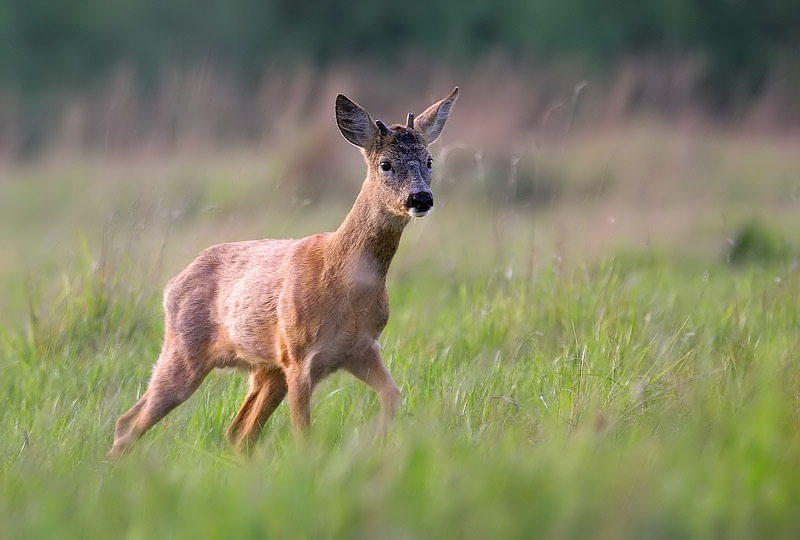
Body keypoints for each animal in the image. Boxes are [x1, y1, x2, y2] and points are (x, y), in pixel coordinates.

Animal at [110, 86, 460, 458]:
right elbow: (303, 432)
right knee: (131, 422)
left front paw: (375, 447)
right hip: (186, 350)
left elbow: (392, 396)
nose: (420, 198)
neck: (343, 280)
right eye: (385, 164)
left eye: (429, 160)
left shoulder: (362, 348)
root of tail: (171, 286)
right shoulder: (299, 358)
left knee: (238, 432)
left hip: (265, 369)